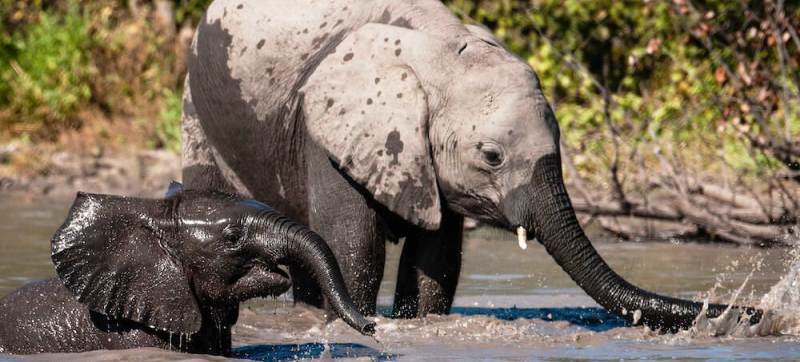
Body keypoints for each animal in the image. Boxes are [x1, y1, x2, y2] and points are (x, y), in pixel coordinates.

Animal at [181, 0, 764, 330]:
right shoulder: (327, 130)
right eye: (492, 156)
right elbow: (354, 251)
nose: (756, 313)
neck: (440, 49)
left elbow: (437, 261)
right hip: (196, 109)